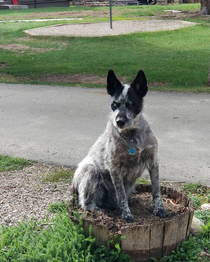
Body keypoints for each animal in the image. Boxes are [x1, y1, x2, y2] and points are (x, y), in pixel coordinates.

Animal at [72, 70, 167, 223]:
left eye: (131, 104)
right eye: (114, 104)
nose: (119, 121)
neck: (132, 137)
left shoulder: (153, 162)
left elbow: (156, 190)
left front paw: (159, 209)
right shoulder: (115, 168)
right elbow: (121, 196)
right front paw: (127, 214)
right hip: (90, 170)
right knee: (86, 202)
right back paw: (97, 209)